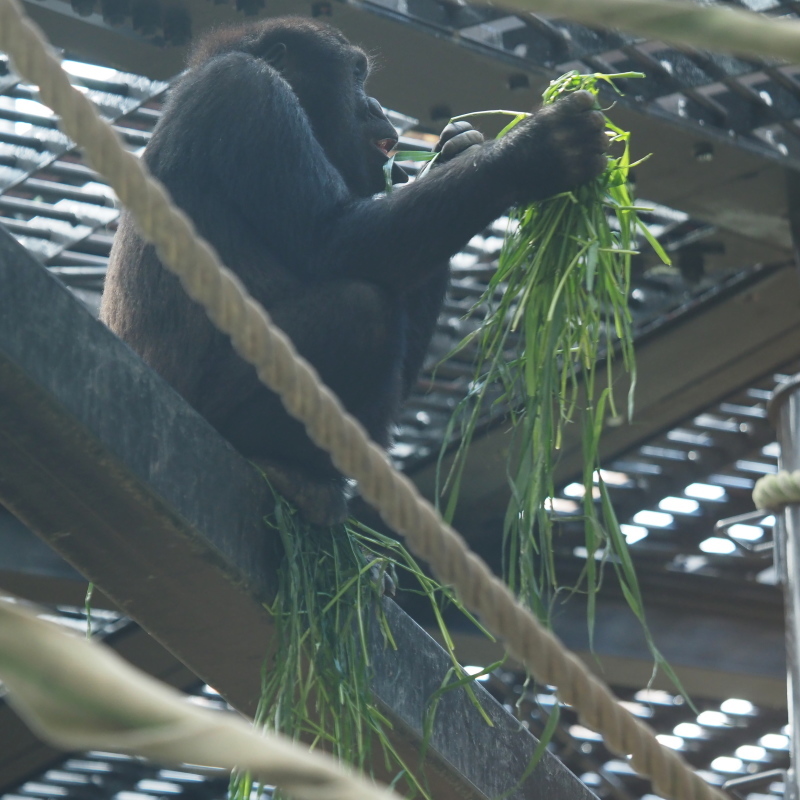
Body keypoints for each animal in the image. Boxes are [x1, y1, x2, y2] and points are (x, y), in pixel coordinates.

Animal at [101, 17, 608, 524]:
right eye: (357, 75)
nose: (375, 104)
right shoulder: (249, 92)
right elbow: (332, 240)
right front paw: (535, 150)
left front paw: (454, 153)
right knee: (361, 309)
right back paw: (288, 469)